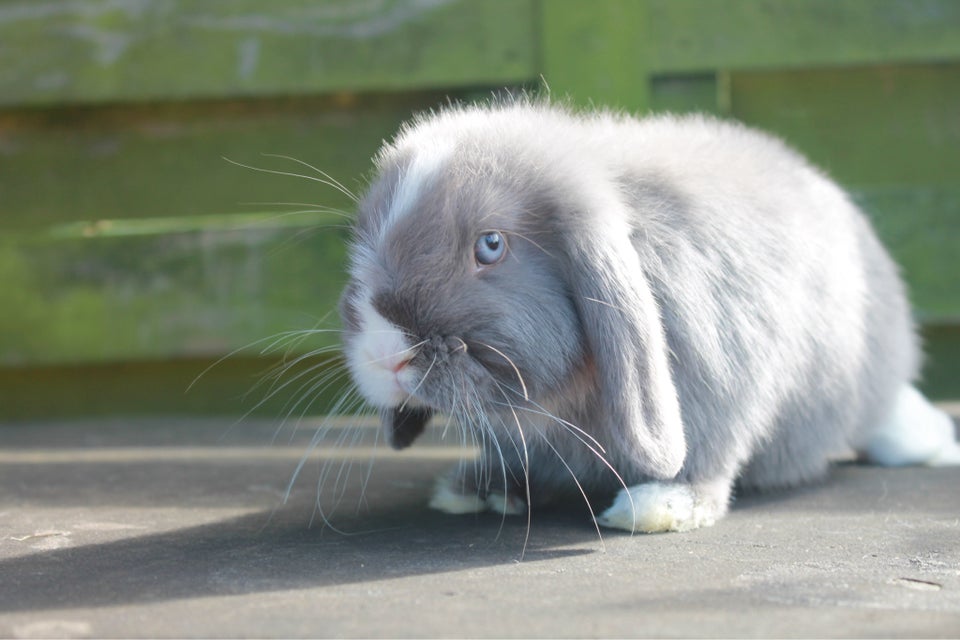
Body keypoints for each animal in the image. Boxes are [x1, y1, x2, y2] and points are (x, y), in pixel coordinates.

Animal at [334, 97, 956, 532]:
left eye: (490, 245)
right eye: (359, 241)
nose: (385, 353)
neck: (561, 406)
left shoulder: (721, 389)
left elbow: (708, 458)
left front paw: (661, 506)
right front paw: (475, 489)